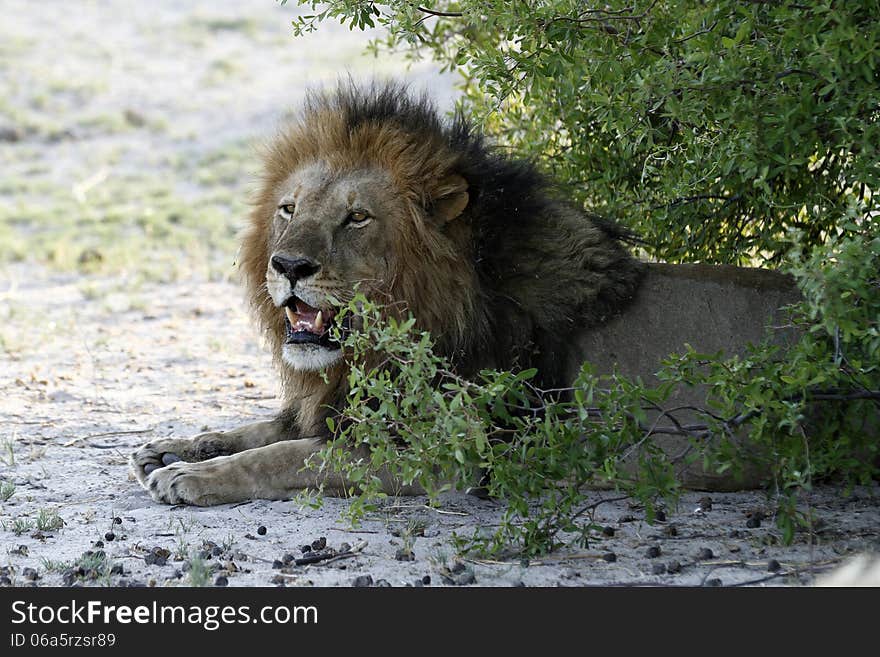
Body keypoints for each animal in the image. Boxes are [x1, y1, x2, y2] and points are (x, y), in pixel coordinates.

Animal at [131, 82, 640, 502]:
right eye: (289, 209)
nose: (288, 266)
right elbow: (269, 429)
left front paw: (191, 475)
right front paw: (178, 448)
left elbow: (291, 454)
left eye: (357, 217)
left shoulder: (439, 453)